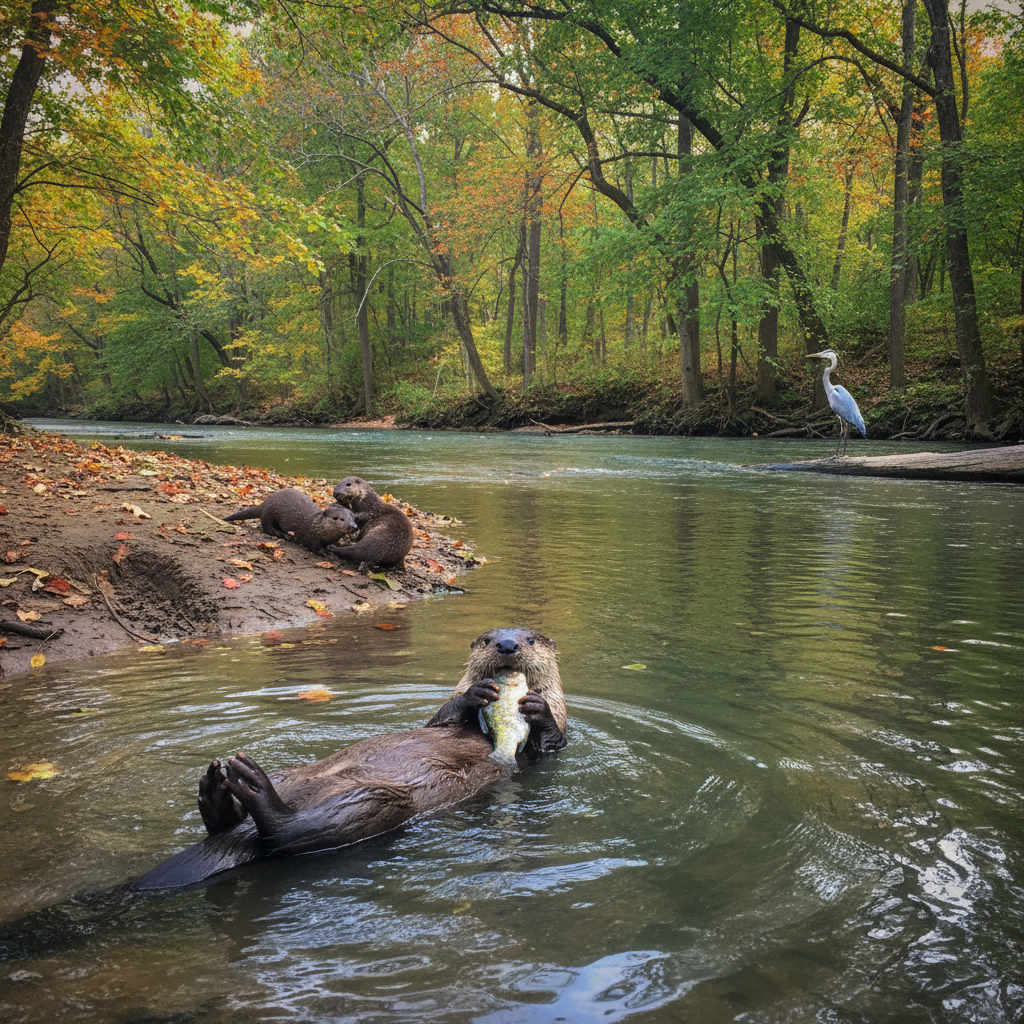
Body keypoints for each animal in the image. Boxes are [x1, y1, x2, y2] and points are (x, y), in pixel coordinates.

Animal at [132, 627, 565, 890]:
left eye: (529, 638)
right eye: (489, 638)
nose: (507, 645)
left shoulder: (541, 751)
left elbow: (549, 746)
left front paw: (537, 708)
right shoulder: (442, 719)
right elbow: (440, 717)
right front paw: (476, 693)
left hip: (374, 801)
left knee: (288, 834)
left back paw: (249, 788)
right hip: (297, 776)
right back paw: (217, 787)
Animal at [224, 488, 359, 555]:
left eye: (353, 518)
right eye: (338, 518)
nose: (352, 526)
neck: (316, 527)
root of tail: (264, 503)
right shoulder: (310, 536)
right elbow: (313, 546)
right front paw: (324, 552)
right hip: (270, 513)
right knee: (267, 527)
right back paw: (284, 535)